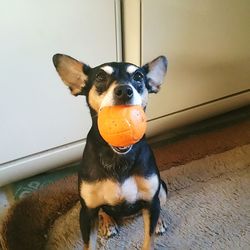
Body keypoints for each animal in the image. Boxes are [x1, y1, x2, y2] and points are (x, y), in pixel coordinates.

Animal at [53, 53, 168, 249]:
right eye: (100, 77)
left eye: (138, 77)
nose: (124, 91)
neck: (118, 157)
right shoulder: (86, 212)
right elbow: (88, 244)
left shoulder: (151, 201)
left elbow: (148, 238)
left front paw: (155, 227)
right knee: (103, 211)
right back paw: (108, 223)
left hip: (162, 189)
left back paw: (159, 221)